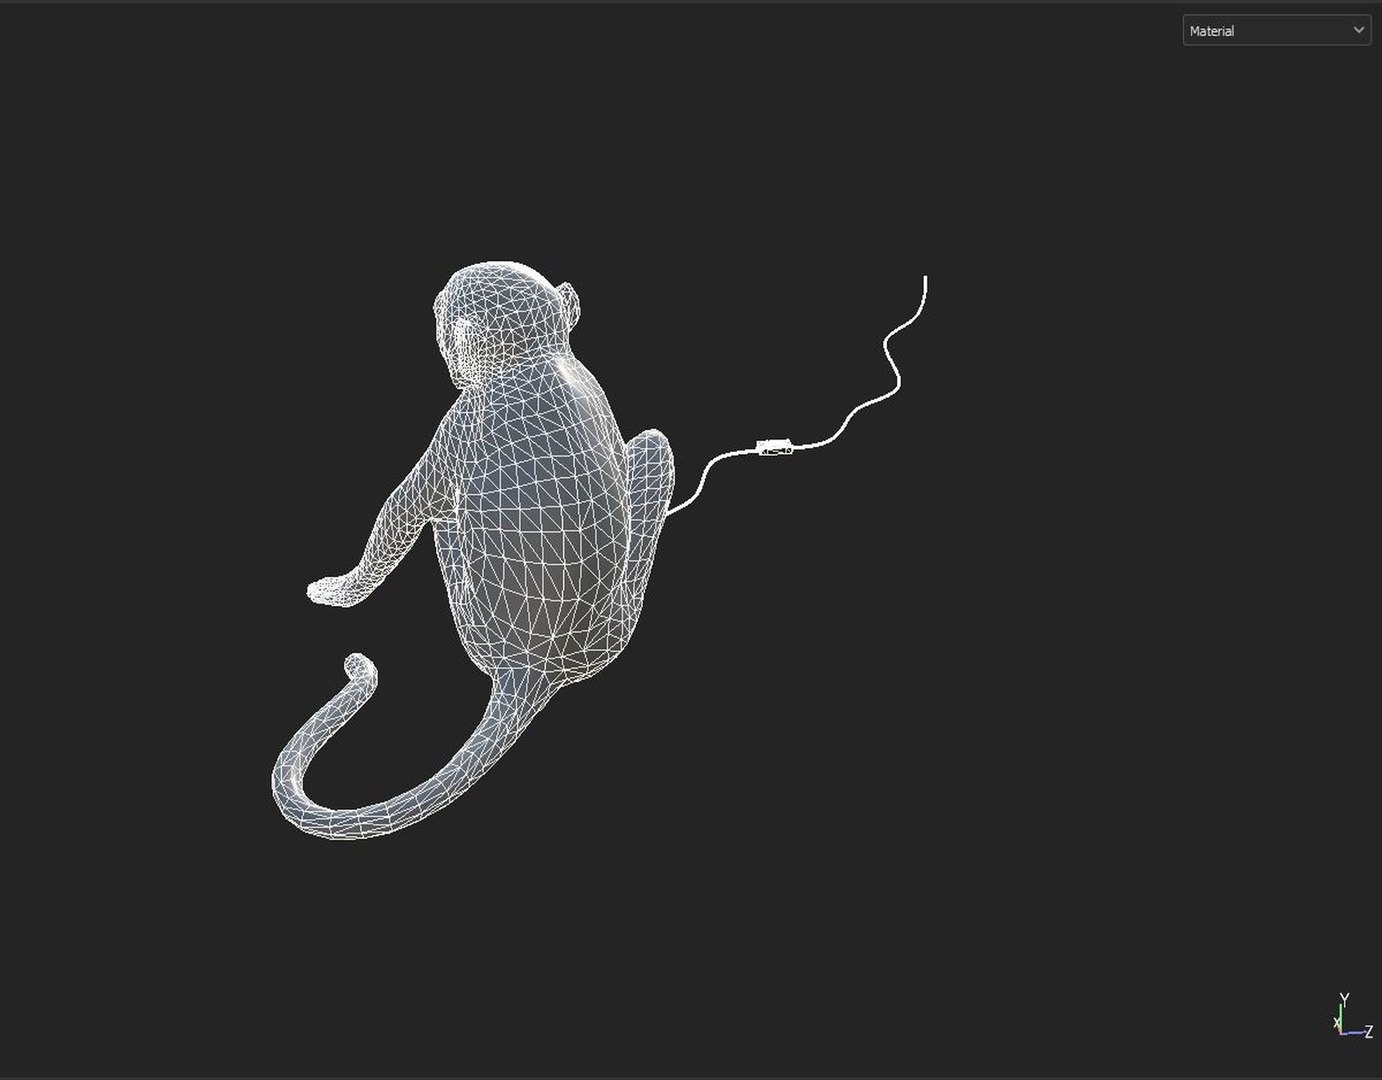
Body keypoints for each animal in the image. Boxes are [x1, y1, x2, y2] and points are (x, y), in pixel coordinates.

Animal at [272, 261, 675, 840]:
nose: (436, 323)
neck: (538, 354)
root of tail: (532, 671)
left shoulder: (455, 426)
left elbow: (398, 513)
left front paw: (334, 591)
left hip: (467, 604)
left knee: (444, 521)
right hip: (621, 614)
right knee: (654, 441)